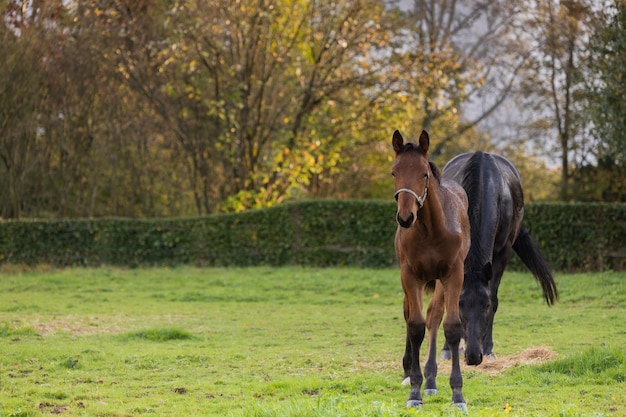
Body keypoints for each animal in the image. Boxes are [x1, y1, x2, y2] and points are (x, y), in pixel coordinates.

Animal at [436, 150, 560, 364]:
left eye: (485, 305)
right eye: (460, 304)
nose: (473, 356)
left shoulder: (502, 254)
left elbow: (494, 298)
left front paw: (488, 350)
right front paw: (447, 349)